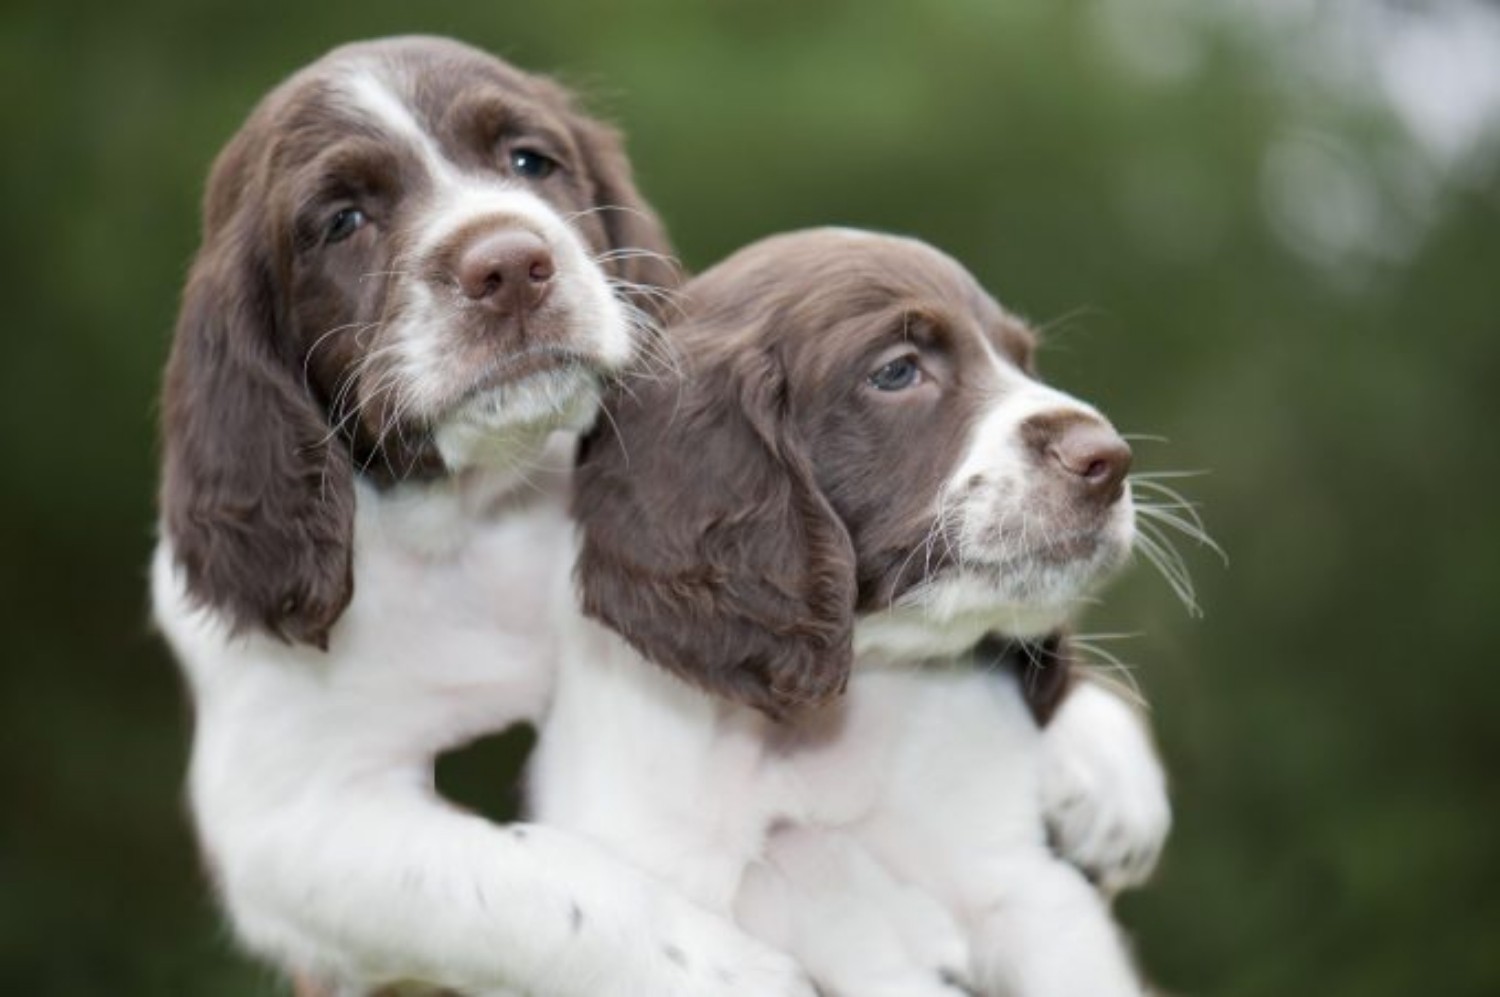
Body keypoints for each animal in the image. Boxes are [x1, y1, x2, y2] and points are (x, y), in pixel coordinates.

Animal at [147, 35, 822, 989]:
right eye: (342, 220)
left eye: (529, 161)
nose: (507, 267)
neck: (480, 515)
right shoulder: (291, 819)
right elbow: (532, 878)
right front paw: (735, 971)